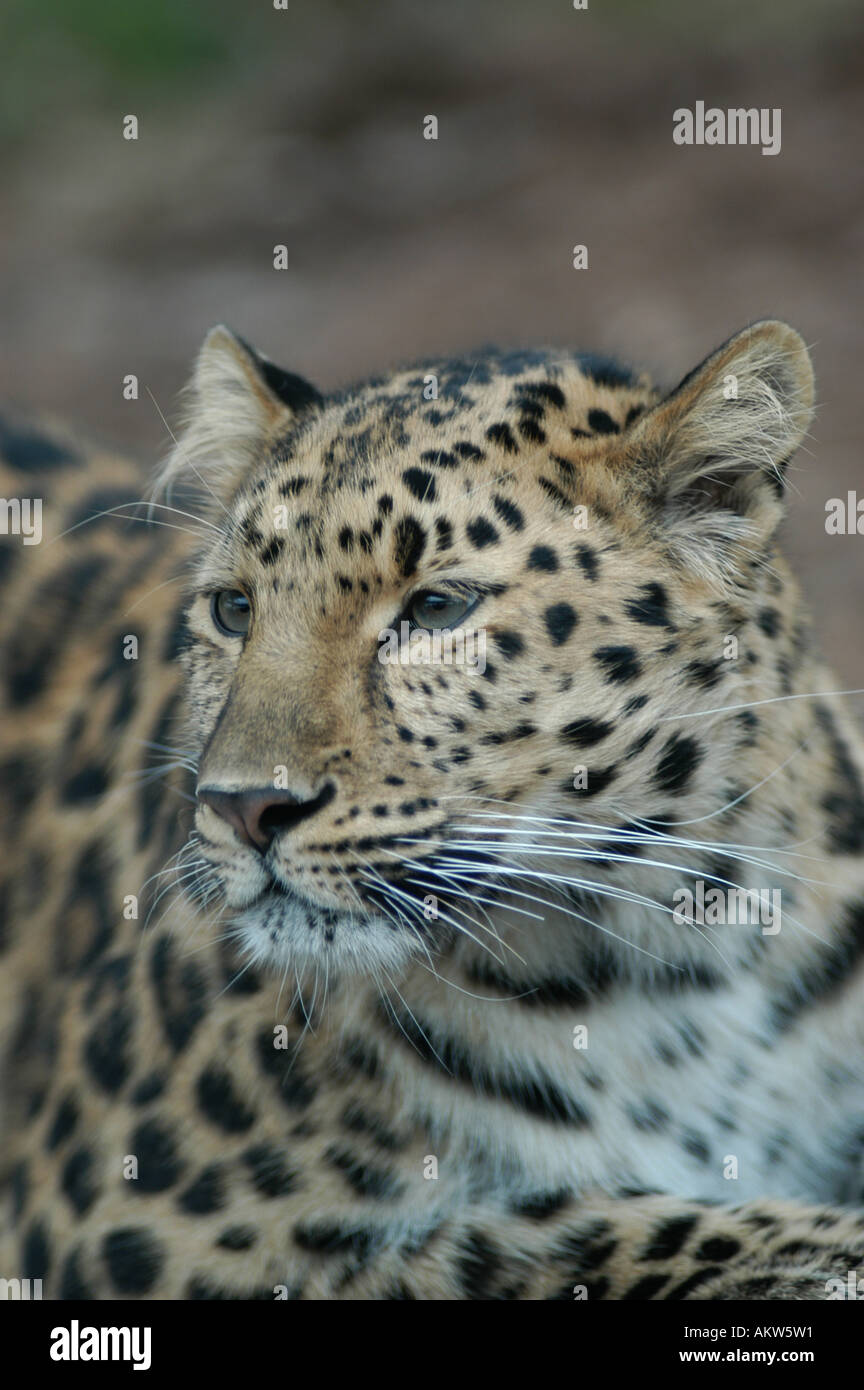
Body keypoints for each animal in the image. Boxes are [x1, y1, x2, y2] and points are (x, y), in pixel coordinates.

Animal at [2, 318, 864, 1301]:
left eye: (437, 608)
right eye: (234, 609)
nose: (243, 806)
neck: (686, 950)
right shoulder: (124, 1227)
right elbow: (556, 1226)